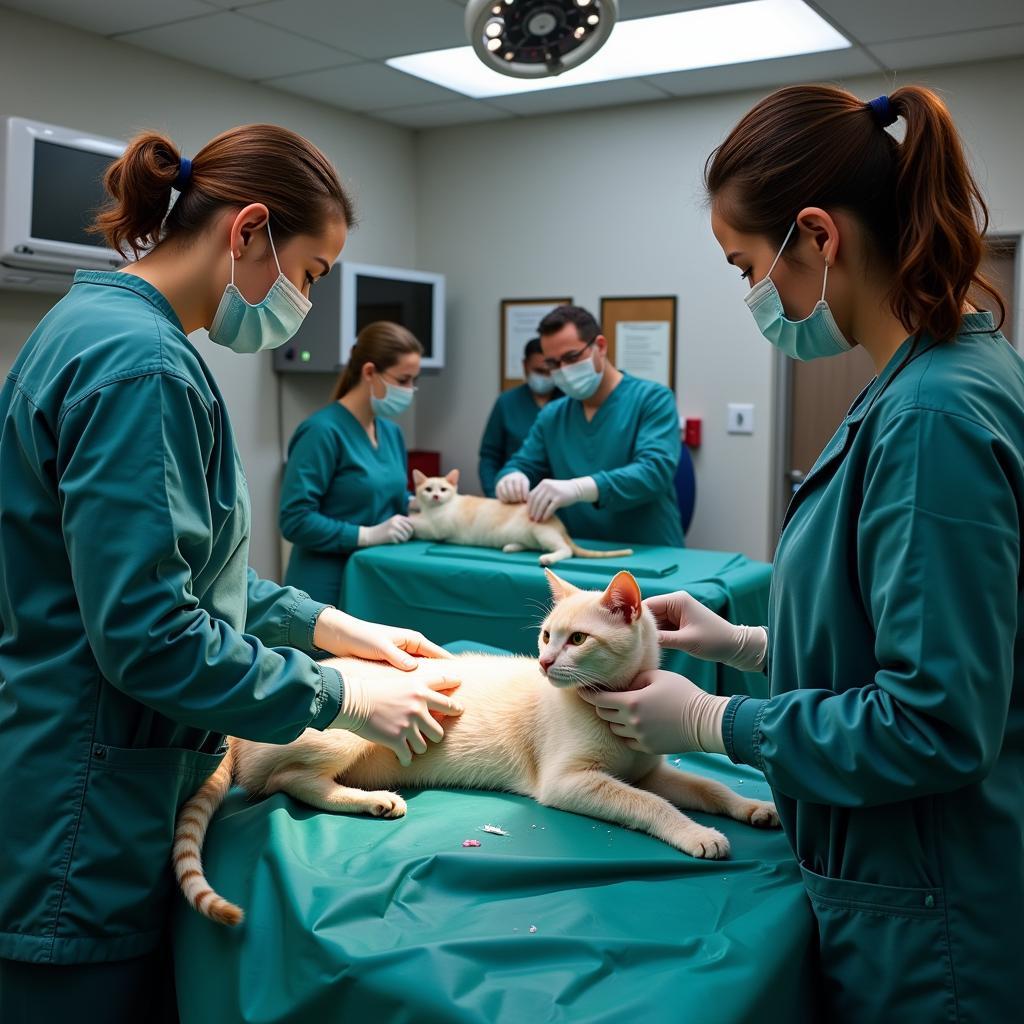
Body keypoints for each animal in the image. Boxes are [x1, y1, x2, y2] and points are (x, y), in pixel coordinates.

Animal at [174, 569, 774, 929]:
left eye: (577, 640)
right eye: (546, 637)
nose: (545, 663)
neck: (610, 704)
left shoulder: (650, 770)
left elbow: (706, 786)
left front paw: (752, 807)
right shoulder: (570, 782)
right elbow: (652, 805)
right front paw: (697, 834)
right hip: (342, 729)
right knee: (285, 782)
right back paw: (375, 803)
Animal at [407, 468, 630, 569]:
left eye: (443, 489)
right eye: (428, 489)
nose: (436, 496)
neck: (434, 508)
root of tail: (560, 525)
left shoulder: (436, 528)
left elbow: (418, 524)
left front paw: (406, 518)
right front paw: (413, 506)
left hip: (542, 531)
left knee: (566, 550)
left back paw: (548, 557)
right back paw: (512, 546)